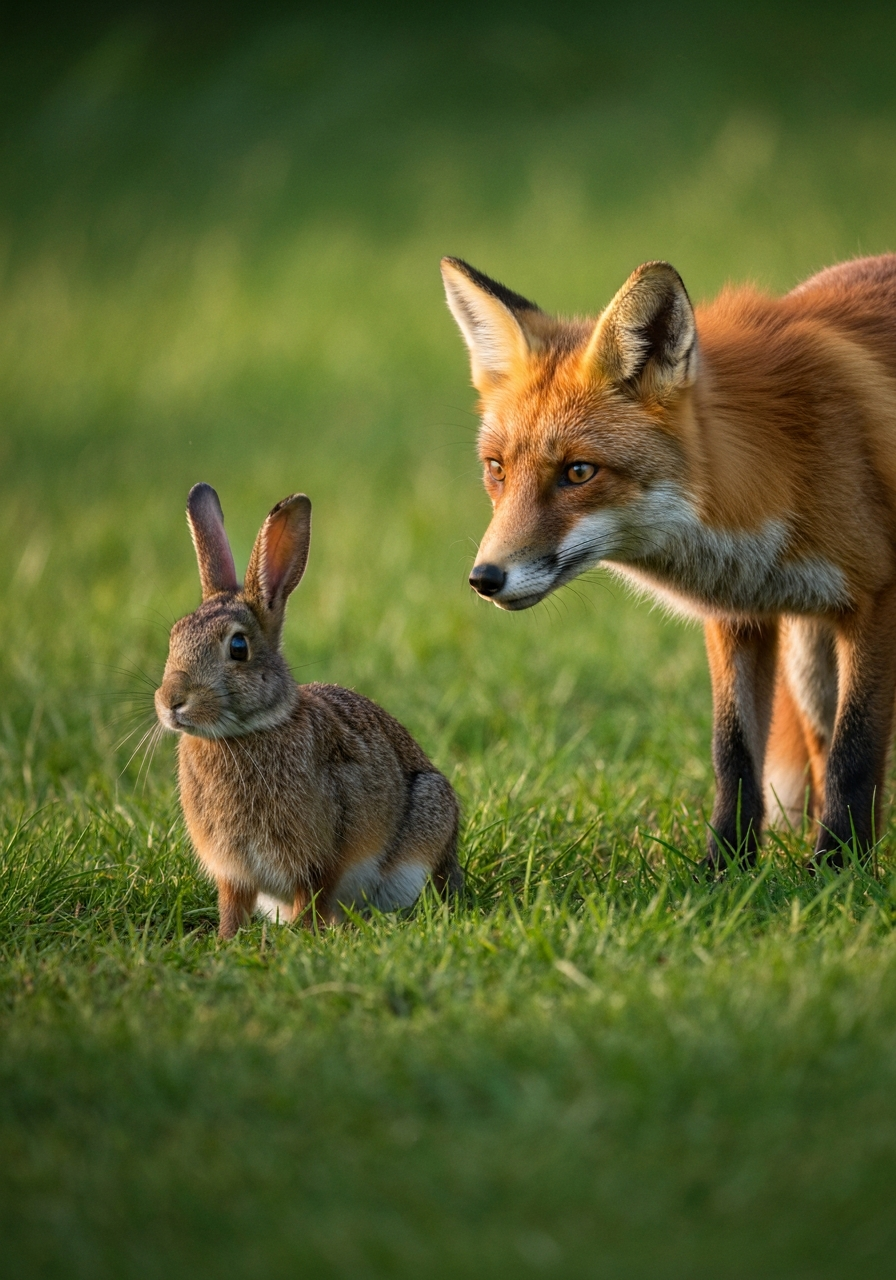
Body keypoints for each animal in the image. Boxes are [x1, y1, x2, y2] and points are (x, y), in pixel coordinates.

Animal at [155, 483, 463, 937]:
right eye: (174, 638)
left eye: (238, 647)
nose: (171, 700)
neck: (244, 733)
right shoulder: (234, 872)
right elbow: (233, 906)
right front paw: (225, 940)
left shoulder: (321, 857)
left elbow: (313, 894)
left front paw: (297, 937)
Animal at [441, 252, 896, 867]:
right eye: (497, 469)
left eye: (578, 472)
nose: (484, 578)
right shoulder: (739, 613)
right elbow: (734, 755)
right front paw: (724, 867)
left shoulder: (875, 599)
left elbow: (856, 750)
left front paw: (838, 867)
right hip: (807, 657)